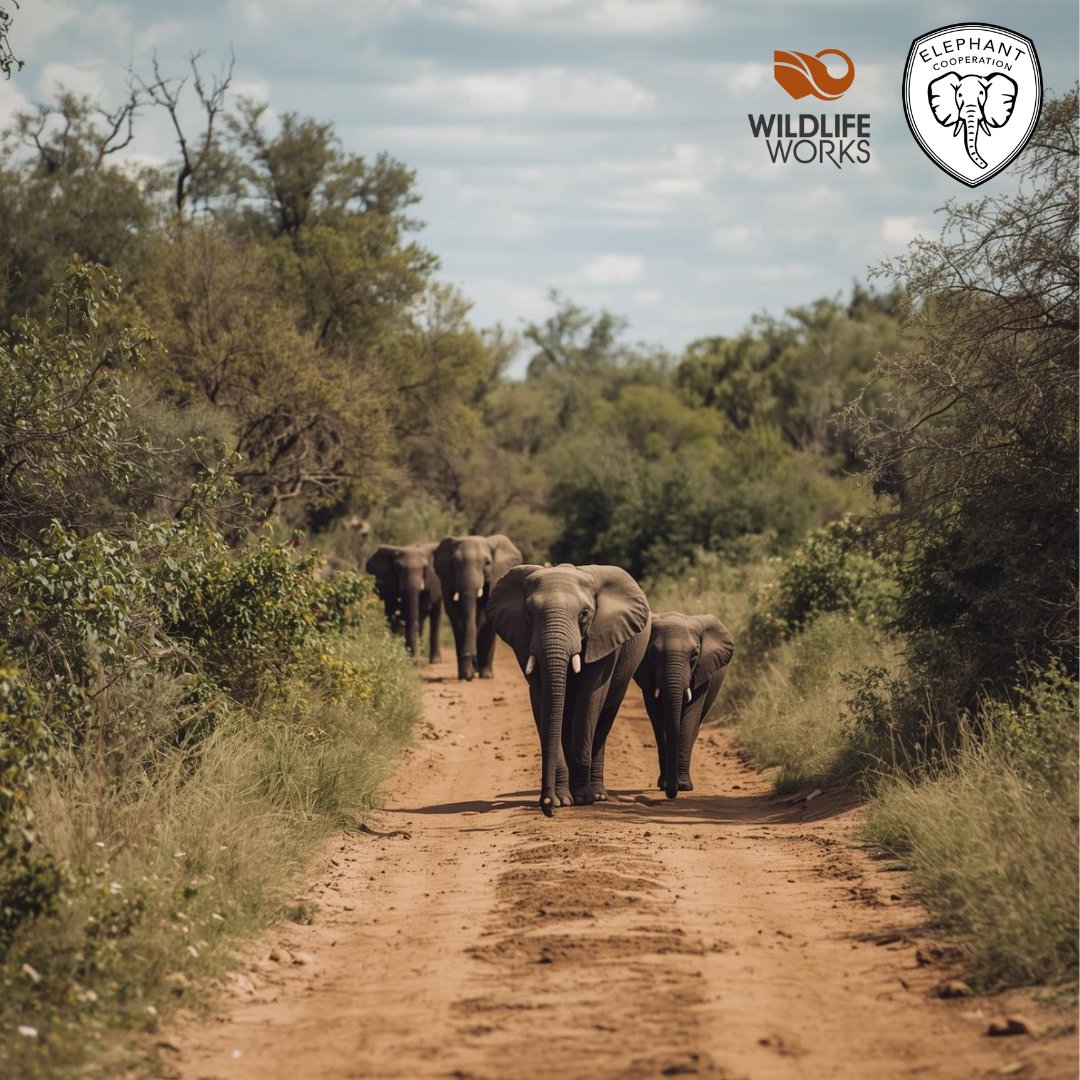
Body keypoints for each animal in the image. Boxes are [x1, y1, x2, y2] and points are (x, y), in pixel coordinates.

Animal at [434, 534, 522, 681]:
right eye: (454, 563)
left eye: (487, 563)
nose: (470, 658)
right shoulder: (446, 580)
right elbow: (455, 615)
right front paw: (465, 674)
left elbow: (485, 616)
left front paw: (483, 675)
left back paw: (486, 675)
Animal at [487, 563, 651, 816]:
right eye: (529, 613)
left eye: (584, 614)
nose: (546, 807)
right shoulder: (524, 642)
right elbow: (543, 701)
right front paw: (561, 800)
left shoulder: (604, 639)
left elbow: (590, 699)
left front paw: (583, 798)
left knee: (605, 716)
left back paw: (598, 794)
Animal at [633, 612, 735, 799]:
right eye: (652, 654)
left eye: (694, 655)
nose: (671, 792)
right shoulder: (647, 678)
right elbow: (659, 720)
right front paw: (665, 785)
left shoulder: (702, 671)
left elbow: (690, 717)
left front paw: (684, 786)